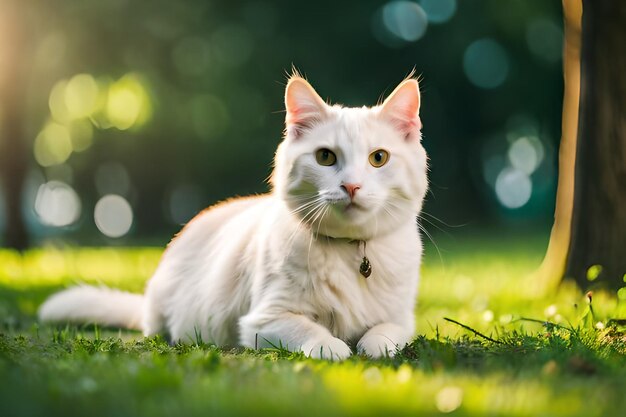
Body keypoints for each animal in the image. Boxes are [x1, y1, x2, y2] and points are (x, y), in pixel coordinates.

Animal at [39, 73, 426, 360]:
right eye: (326, 157)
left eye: (378, 158)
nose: (351, 186)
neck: (351, 251)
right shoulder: (265, 320)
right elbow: (314, 333)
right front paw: (335, 347)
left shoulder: (402, 319)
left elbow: (383, 335)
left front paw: (371, 345)